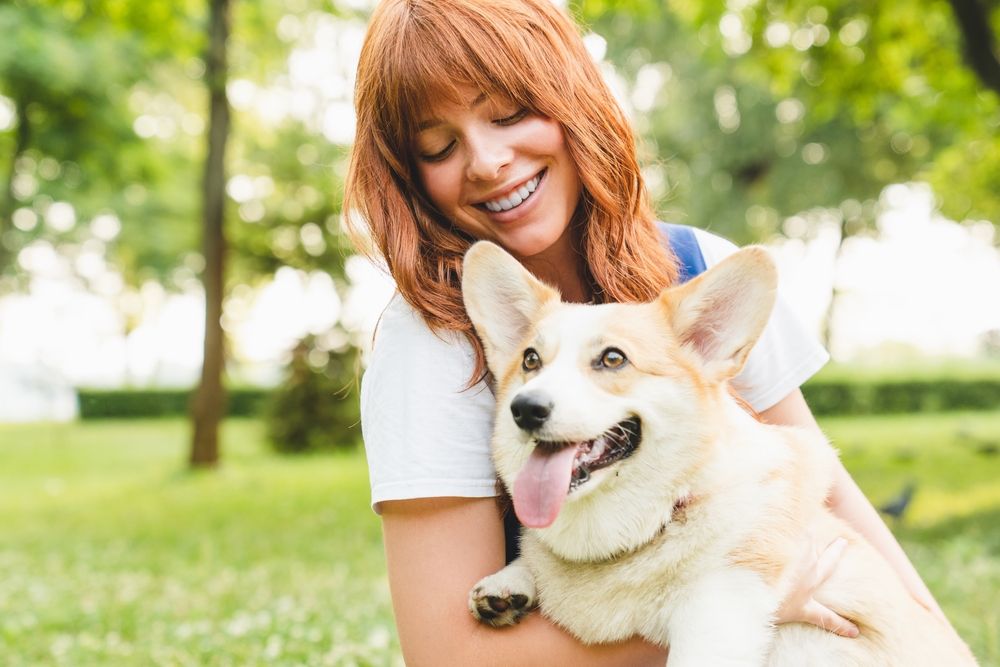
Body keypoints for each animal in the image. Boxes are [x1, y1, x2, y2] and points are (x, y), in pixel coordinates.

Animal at [460, 243, 976, 667]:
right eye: (530, 360)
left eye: (612, 359)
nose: (525, 409)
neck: (661, 519)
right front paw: (510, 584)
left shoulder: (720, 614)